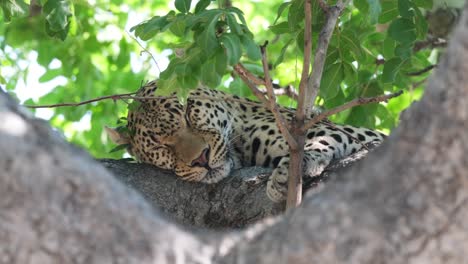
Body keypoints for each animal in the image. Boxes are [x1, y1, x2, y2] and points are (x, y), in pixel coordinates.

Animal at [108, 80, 386, 202]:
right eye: (159, 144)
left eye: (187, 113)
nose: (201, 159)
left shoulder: (352, 133)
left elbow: (320, 140)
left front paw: (286, 175)